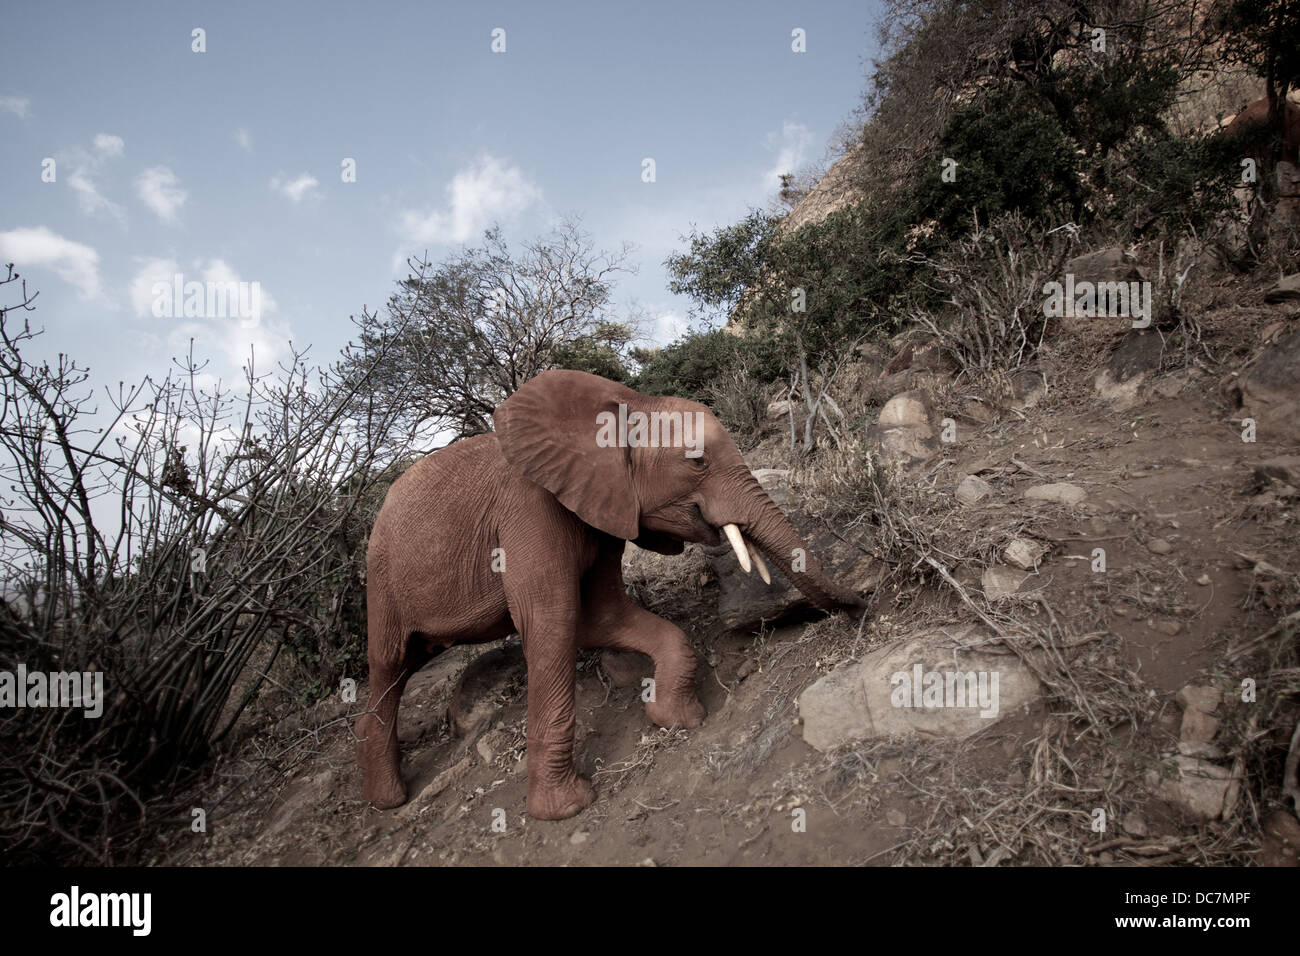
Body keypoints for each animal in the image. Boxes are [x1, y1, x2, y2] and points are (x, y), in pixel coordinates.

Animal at [356, 369, 863, 816]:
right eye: (697, 461)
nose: (862, 604)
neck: (628, 402)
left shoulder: (604, 508)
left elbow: (600, 617)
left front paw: (675, 717)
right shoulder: (529, 508)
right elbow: (553, 622)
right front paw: (566, 808)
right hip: (380, 578)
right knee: (389, 665)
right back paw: (389, 801)